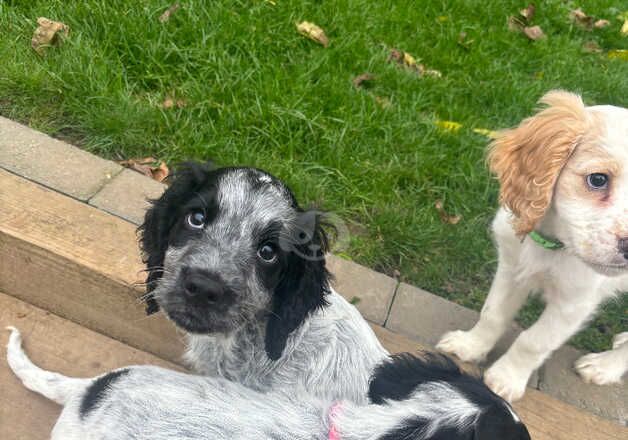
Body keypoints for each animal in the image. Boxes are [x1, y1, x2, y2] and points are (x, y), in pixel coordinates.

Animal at [436, 90, 628, 402]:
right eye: (598, 179)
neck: (554, 244)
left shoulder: (573, 302)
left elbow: (533, 341)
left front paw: (505, 379)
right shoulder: (511, 265)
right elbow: (492, 313)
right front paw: (470, 346)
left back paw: (604, 366)